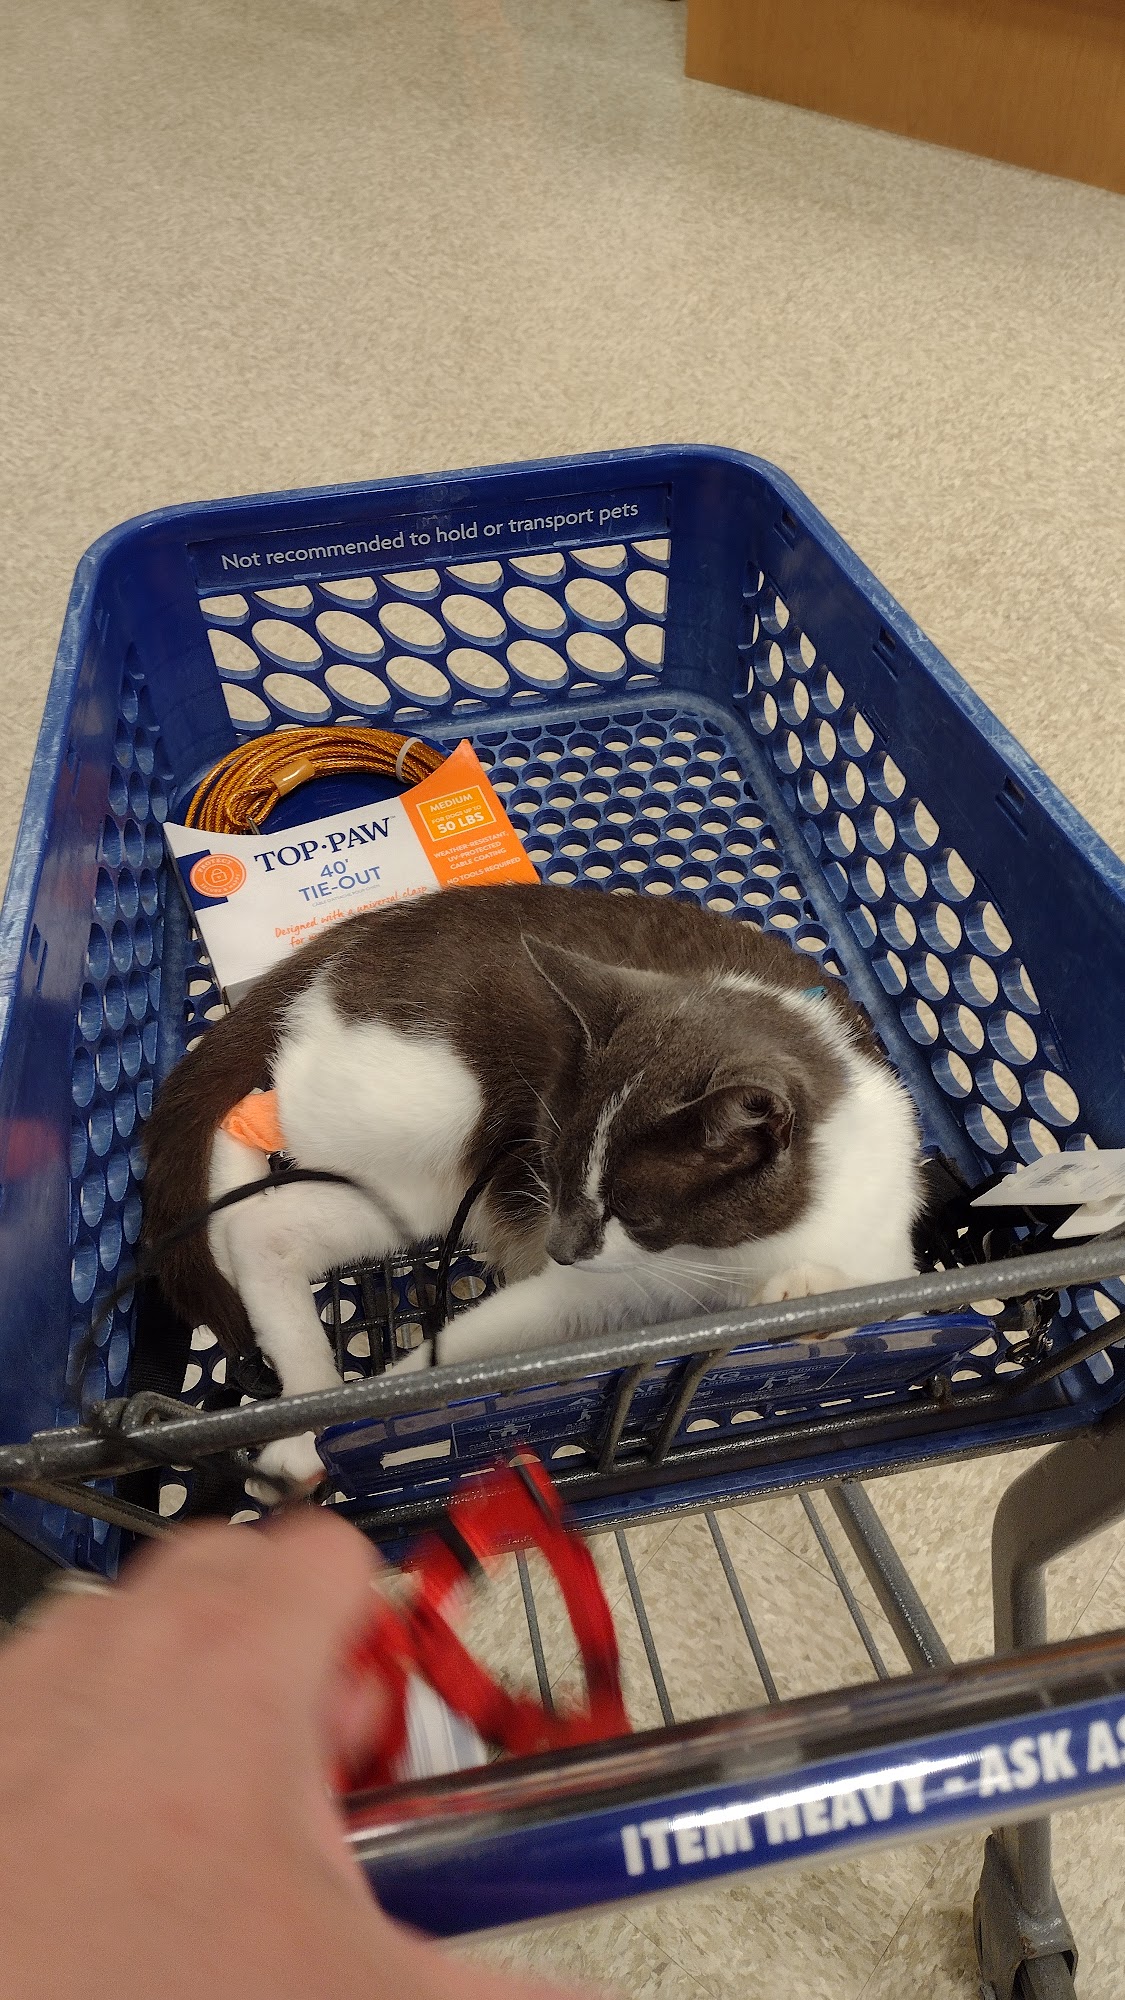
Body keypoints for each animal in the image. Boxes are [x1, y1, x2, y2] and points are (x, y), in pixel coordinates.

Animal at [142, 883, 924, 1496]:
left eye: (634, 1209)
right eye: (553, 1166)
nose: (558, 1246)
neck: (730, 1257)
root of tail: (353, 938)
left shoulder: (879, 1240)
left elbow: (884, 1296)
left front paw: (808, 1297)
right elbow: (472, 1343)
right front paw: (377, 1418)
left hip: (418, 1187)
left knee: (267, 1223)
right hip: (428, 1096)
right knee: (256, 1120)